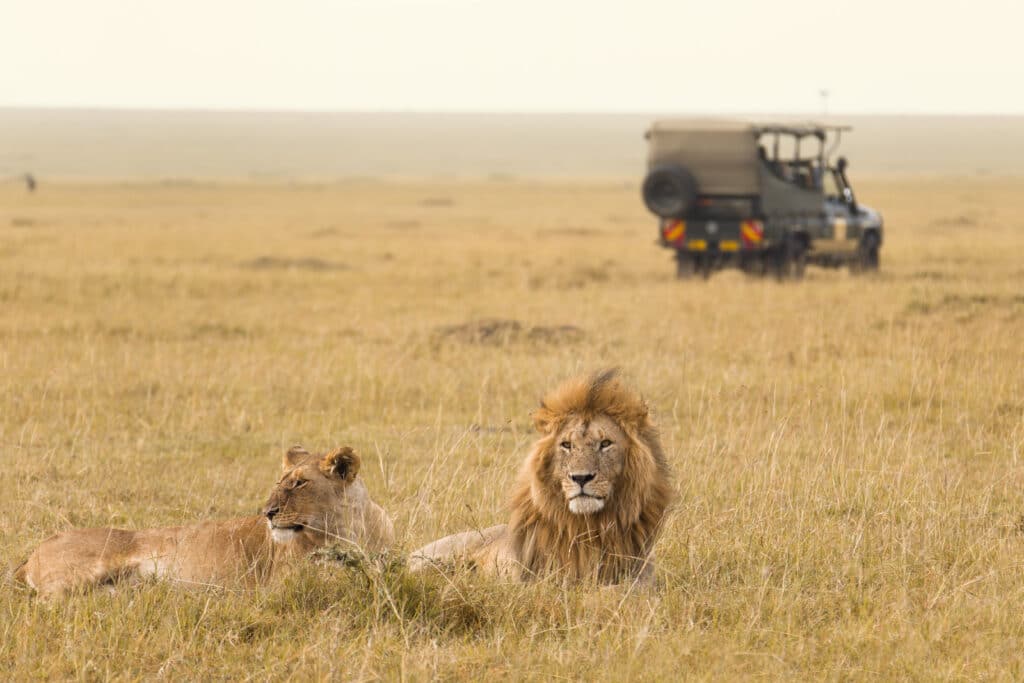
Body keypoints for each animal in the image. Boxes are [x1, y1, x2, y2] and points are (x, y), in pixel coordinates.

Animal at [14, 444, 393, 598]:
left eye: (299, 483)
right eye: (280, 481)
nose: (267, 512)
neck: (351, 529)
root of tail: (31, 554)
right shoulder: (284, 583)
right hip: (79, 574)